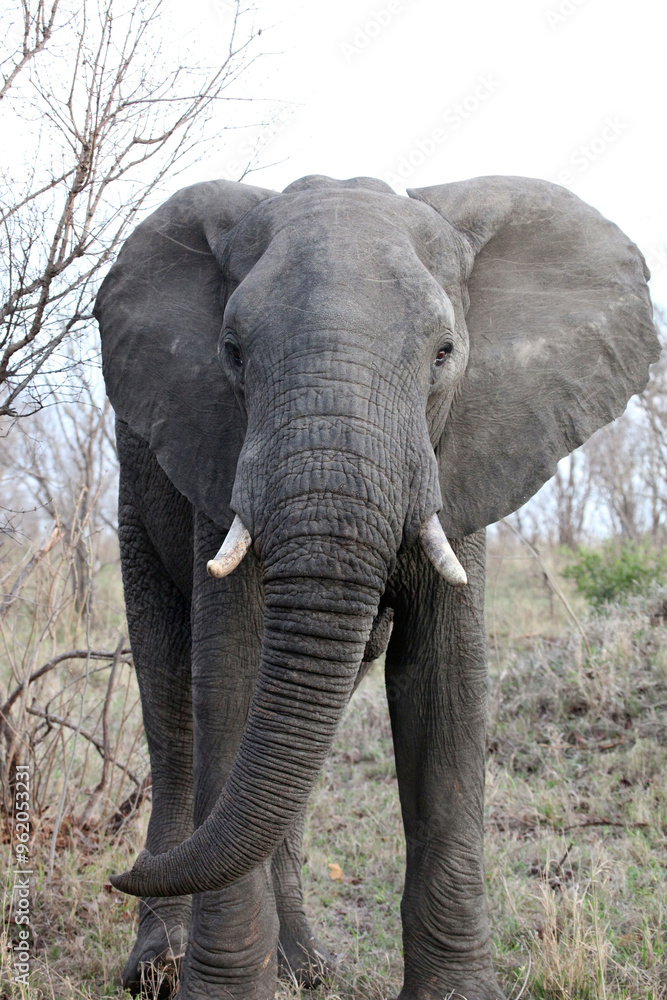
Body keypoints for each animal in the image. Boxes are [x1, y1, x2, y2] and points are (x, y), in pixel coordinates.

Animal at [94, 173, 658, 1000]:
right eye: (231, 353)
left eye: (444, 353)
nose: (113, 874)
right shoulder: (213, 460)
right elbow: (230, 675)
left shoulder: (461, 456)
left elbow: (443, 687)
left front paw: (456, 995)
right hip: (137, 494)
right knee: (174, 712)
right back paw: (159, 970)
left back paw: (302, 969)